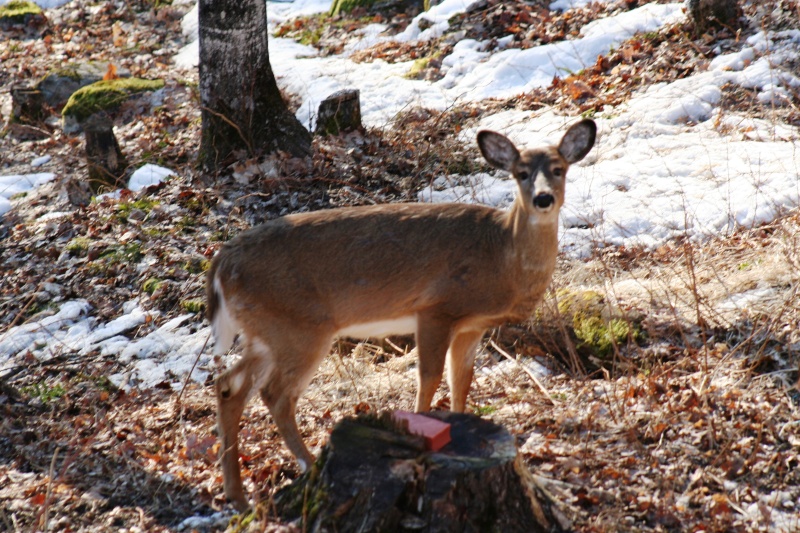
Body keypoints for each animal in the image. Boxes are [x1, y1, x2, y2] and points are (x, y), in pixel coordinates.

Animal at [205, 118, 592, 510]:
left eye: (559, 169)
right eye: (521, 173)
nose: (543, 199)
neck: (502, 252)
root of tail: (221, 263)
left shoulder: (473, 325)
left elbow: (461, 381)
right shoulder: (436, 308)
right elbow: (429, 377)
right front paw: (423, 431)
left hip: (265, 332)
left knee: (229, 386)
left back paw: (237, 495)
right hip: (299, 328)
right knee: (275, 395)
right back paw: (308, 466)